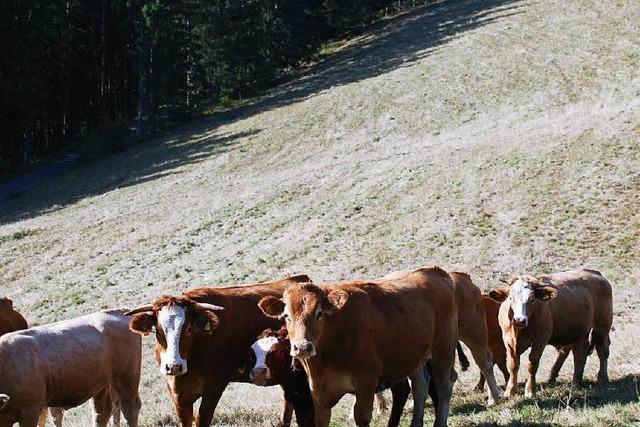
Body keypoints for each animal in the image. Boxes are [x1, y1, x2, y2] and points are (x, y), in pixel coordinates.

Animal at [0, 310, 141, 427]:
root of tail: (120, 312)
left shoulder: (30, 411)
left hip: (126, 379)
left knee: (130, 409)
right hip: (102, 386)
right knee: (102, 413)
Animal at [124, 276, 310, 426]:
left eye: (189, 328)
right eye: (157, 331)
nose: (174, 366)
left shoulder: (214, 387)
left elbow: (203, 419)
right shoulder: (178, 395)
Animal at [258, 266, 458, 426]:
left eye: (319, 313)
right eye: (286, 316)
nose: (302, 347)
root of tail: (435, 271)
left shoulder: (366, 384)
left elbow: (361, 417)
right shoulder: (319, 395)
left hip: (444, 348)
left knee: (444, 386)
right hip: (416, 356)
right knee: (420, 387)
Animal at [490, 270, 616, 398]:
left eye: (532, 299)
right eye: (510, 298)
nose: (519, 320)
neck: (518, 331)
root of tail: (595, 274)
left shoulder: (540, 340)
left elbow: (532, 364)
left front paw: (530, 390)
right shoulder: (508, 341)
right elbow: (512, 365)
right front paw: (510, 390)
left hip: (602, 326)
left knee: (602, 351)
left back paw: (602, 379)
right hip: (581, 331)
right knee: (579, 353)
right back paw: (575, 382)